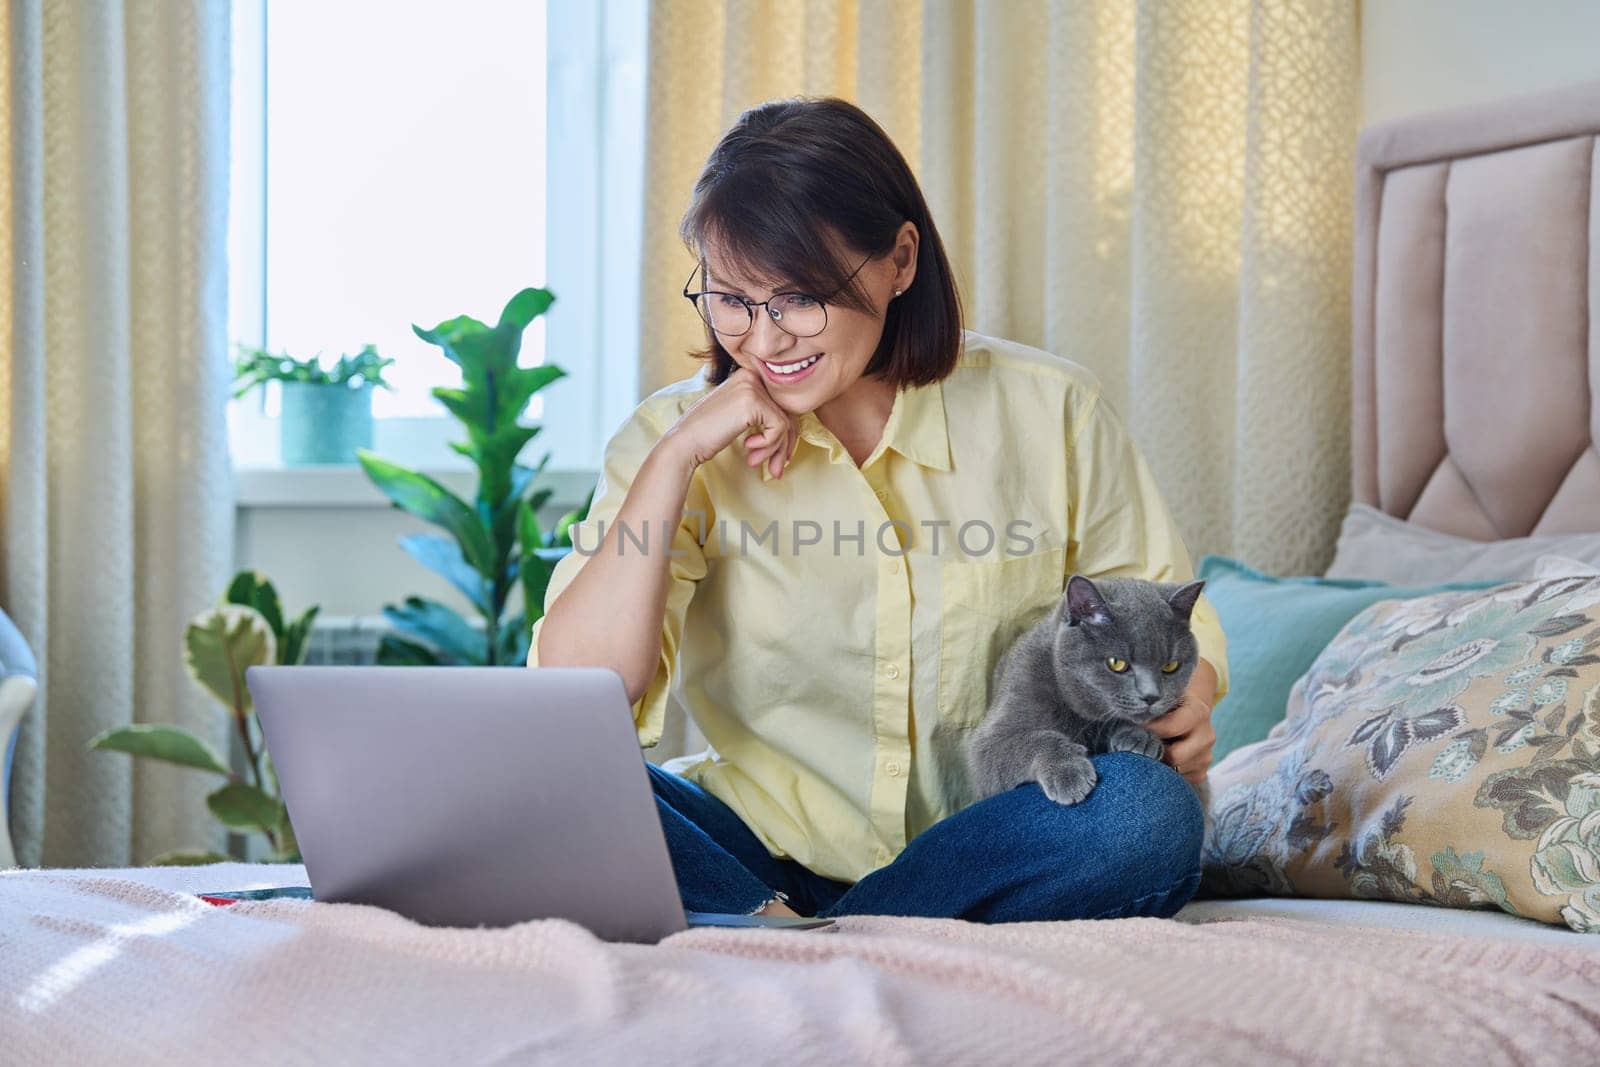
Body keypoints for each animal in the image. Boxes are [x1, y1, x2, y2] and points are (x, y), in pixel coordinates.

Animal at [960, 575, 1209, 819]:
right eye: (1116, 663)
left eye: (1170, 666)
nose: (1151, 696)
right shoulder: (990, 742)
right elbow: (1031, 740)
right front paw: (1067, 771)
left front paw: (1139, 736)